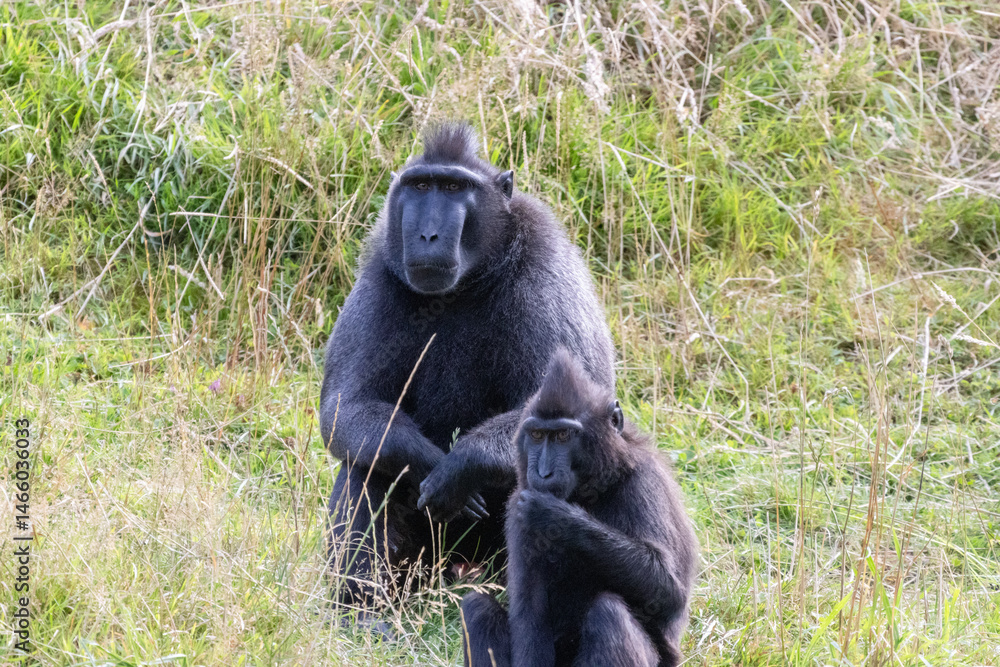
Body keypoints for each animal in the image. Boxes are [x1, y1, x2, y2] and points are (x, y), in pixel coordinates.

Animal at [319, 123, 615, 619]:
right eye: (422, 186)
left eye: (455, 188)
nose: (428, 235)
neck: (466, 286)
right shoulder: (381, 274)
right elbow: (346, 408)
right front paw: (427, 460)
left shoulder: (545, 272)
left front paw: (460, 467)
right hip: (422, 563)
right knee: (368, 463)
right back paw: (362, 611)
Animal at [460, 349, 698, 667]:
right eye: (537, 436)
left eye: (563, 436)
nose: (543, 473)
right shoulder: (516, 506)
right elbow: (530, 610)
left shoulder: (645, 484)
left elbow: (670, 593)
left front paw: (556, 518)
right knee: (476, 607)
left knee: (608, 612)